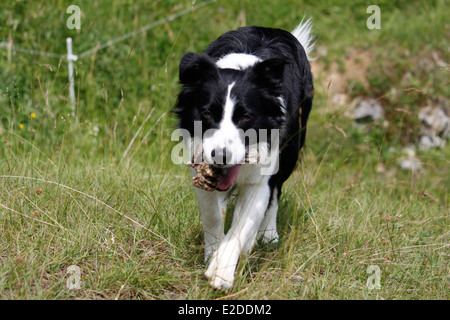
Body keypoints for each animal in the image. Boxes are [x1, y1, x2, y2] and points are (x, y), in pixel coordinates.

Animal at [174, 20, 314, 290]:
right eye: (207, 114)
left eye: (246, 117)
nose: (221, 156)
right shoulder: (200, 164)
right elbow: (212, 215)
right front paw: (212, 254)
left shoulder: (261, 173)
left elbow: (244, 223)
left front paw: (222, 272)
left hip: (292, 148)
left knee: (277, 190)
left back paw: (268, 234)